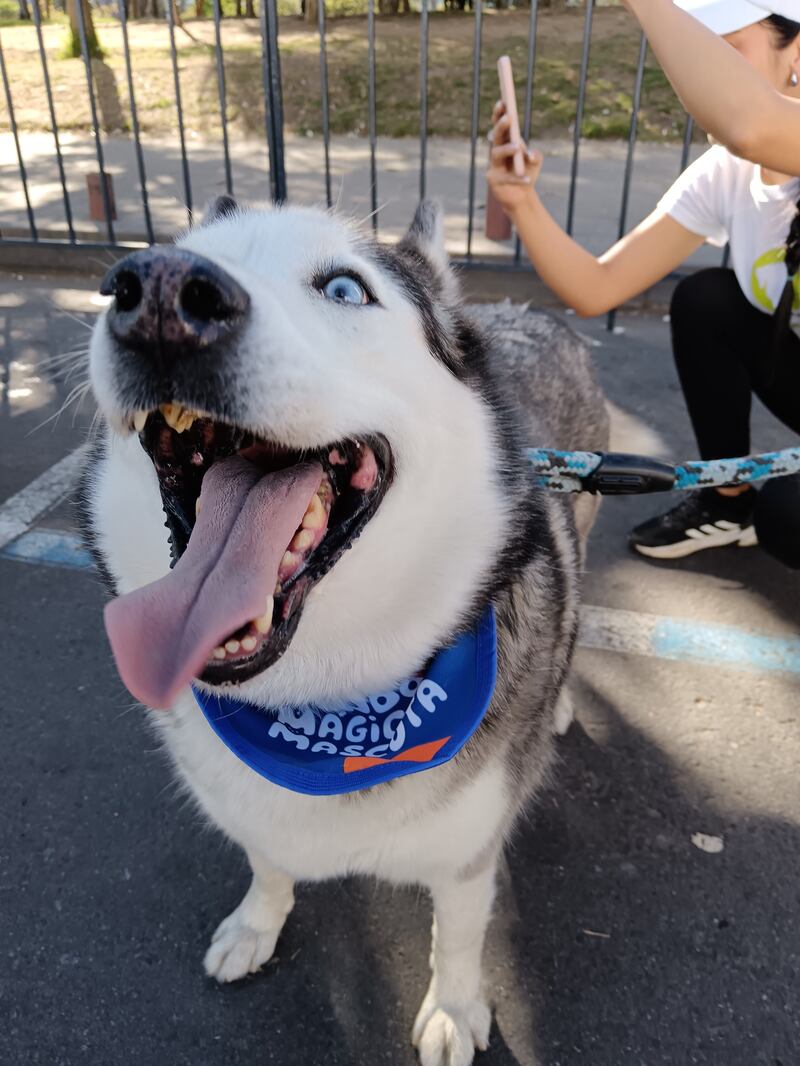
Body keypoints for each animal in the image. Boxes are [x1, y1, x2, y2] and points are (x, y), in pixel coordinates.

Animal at [80, 201, 605, 1066]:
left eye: (343, 288)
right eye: (143, 269)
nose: (156, 294)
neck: (330, 705)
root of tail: (528, 314)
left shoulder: (468, 855)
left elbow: (460, 936)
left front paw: (453, 1009)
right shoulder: (254, 813)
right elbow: (267, 866)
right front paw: (256, 925)